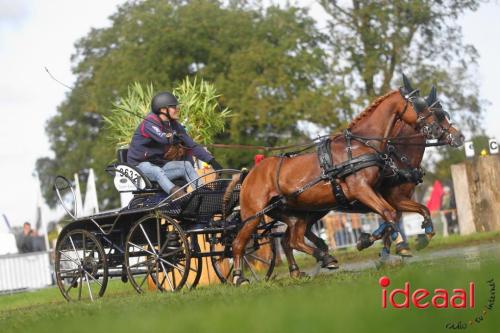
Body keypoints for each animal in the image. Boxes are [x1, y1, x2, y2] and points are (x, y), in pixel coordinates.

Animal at [229, 80, 436, 282]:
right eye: (419, 104)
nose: (434, 127)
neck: (360, 146)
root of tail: (250, 173)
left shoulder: (376, 191)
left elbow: (401, 212)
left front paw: (425, 231)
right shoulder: (361, 189)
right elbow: (389, 214)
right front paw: (375, 242)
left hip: (296, 214)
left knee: (292, 240)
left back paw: (312, 263)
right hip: (253, 215)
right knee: (239, 243)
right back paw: (239, 277)